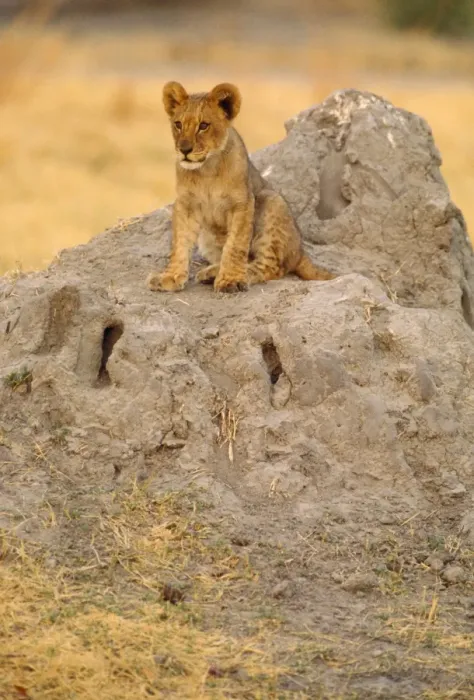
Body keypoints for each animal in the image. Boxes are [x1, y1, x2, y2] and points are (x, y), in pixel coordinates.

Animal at [147, 81, 334, 294]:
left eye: (203, 126)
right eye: (178, 124)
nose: (184, 150)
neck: (207, 170)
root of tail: (300, 251)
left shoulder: (242, 203)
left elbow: (235, 244)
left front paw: (231, 280)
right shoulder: (186, 204)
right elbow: (179, 243)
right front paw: (169, 278)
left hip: (272, 201)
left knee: (270, 266)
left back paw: (232, 275)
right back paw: (212, 272)